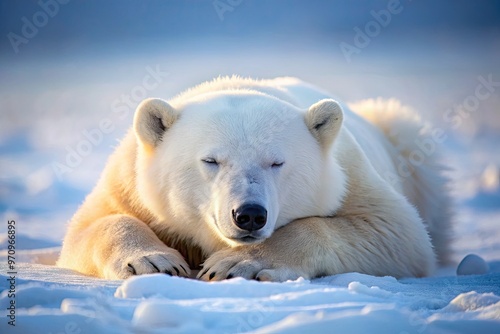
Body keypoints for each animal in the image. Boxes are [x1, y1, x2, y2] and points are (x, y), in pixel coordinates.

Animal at [57, 77, 454, 280]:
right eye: (211, 160)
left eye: (276, 162)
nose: (249, 215)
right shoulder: (129, 182)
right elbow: (92, 225)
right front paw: (154, 262)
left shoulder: (350, 178)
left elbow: (397, 232)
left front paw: (239, 263)